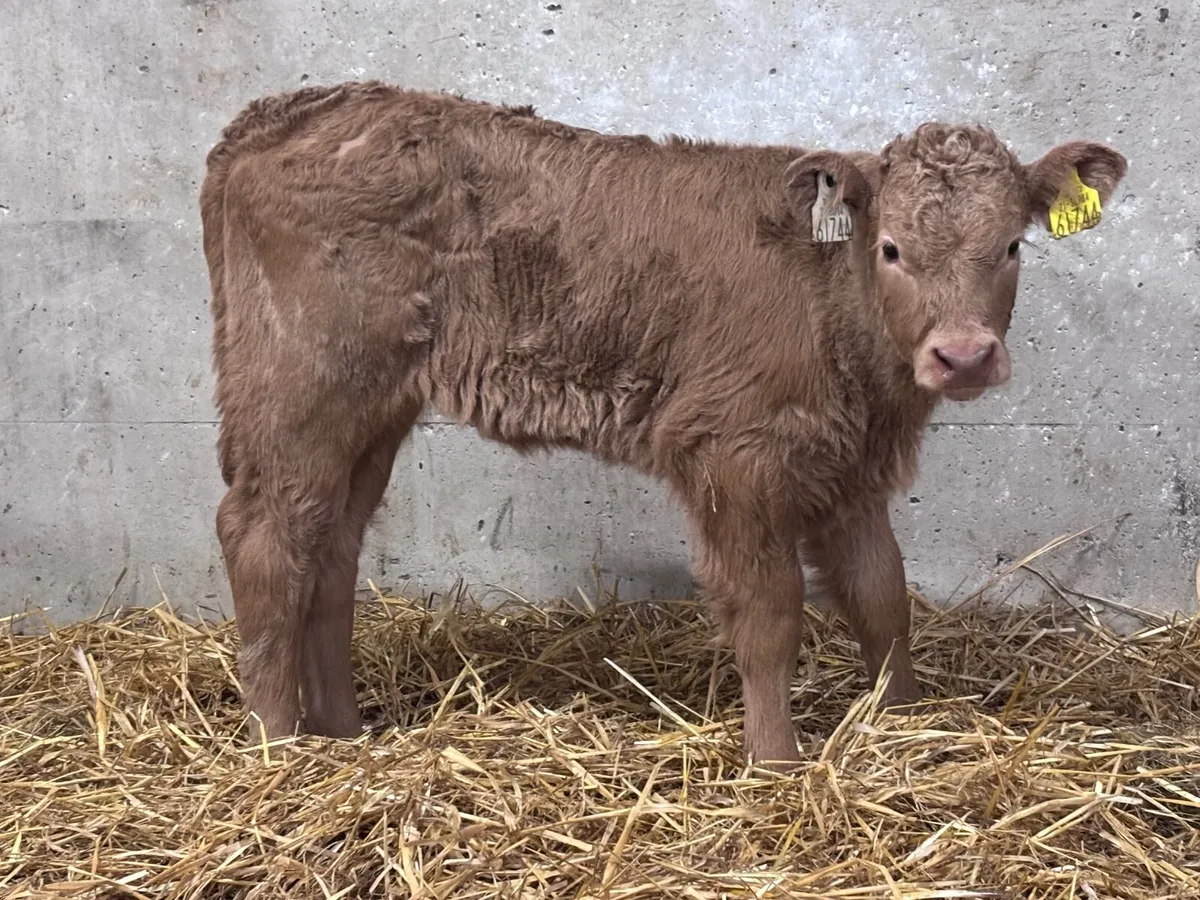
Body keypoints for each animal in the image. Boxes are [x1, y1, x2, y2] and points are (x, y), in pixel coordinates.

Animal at [199, 81, 1127, 767]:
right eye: (892, 248)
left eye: (1012, 246)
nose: (964, 356)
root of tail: (281, 115)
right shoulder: (732, 454)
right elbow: (770, 613)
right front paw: (776, 761)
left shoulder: (850, 463)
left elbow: (881, 596)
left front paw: (901, 727)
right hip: (302, 386)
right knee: (265, 536)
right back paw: (280, 750)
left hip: (371, 408)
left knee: (330, 545)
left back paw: (344, 733)